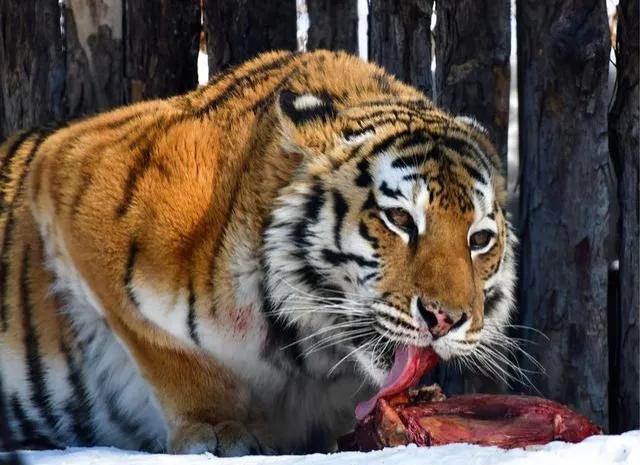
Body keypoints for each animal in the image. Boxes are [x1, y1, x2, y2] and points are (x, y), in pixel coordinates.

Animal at [0, 49, 516, 454]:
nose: (446, 319)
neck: (307, 353)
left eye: (478, 240)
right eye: (401, 220)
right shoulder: (72, 179)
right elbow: (167, 348)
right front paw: (218, 428)